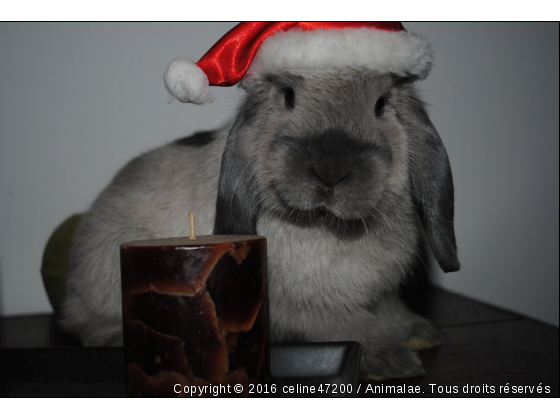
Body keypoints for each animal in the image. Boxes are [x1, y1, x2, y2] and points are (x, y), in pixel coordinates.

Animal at [61, 21, 460, 378]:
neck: (329, 225)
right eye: (288, 96)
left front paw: (419, 335)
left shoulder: (382, 293)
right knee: (93, 328)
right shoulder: (310, 307)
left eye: (381, 104)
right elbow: (352, 327)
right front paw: (393, 363)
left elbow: (389, 311)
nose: (330, 171)